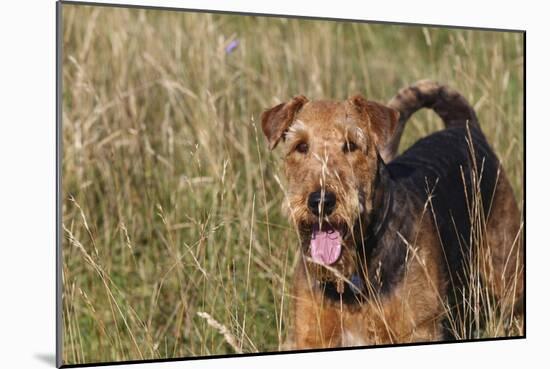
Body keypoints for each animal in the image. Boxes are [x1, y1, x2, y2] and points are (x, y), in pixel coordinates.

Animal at [260, 80, 524, 348]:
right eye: (301, 146)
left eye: (351, 145)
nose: (321, 201)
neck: (352, 278)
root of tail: (464, 128)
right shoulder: (311, 335)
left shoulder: (417, 330)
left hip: (506, 269)